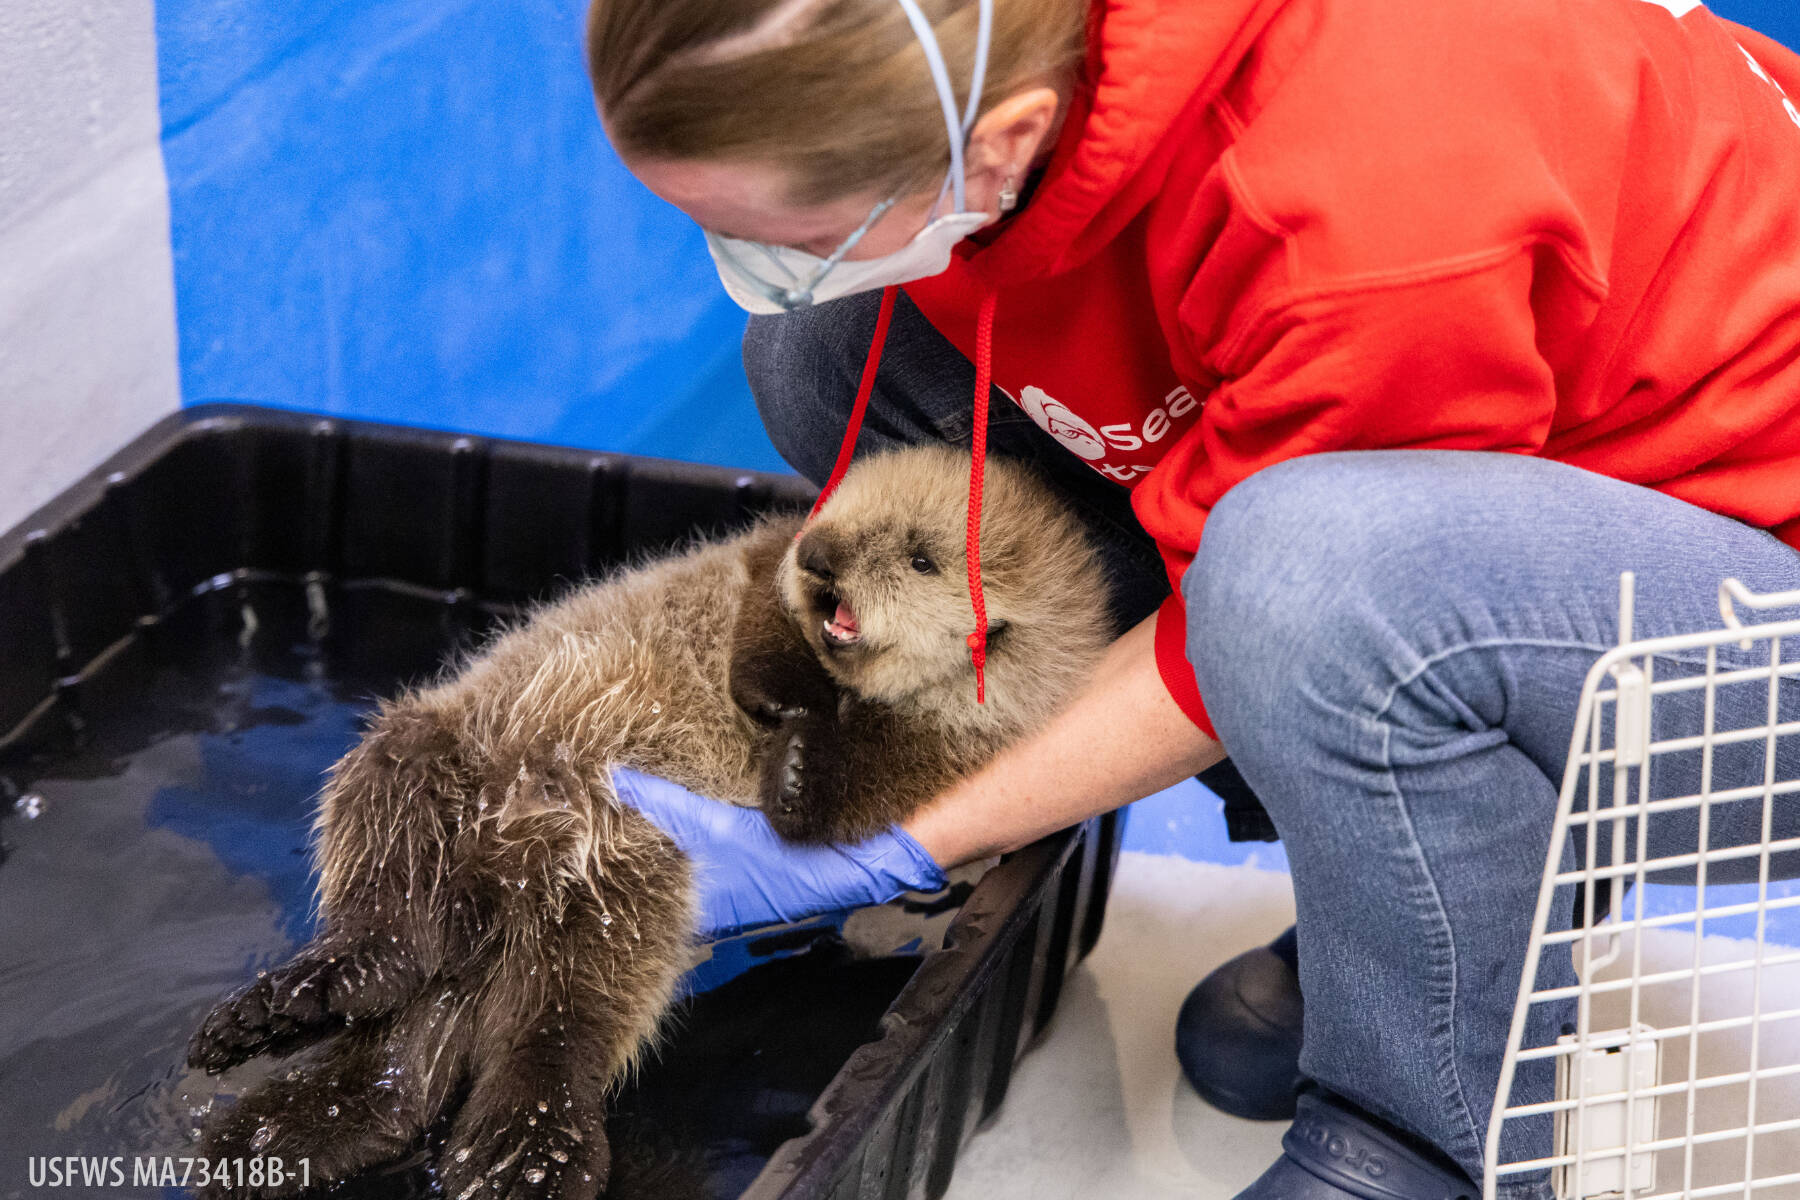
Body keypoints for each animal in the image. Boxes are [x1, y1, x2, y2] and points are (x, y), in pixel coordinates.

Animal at [185, 445, 1111, 1199]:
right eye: (840, 510)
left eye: (921, 558)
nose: (824, 556)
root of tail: (494, 910)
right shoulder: (763, 559)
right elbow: (762, 605)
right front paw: (785, 699)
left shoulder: (966, 749)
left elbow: (877, 778)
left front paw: (800, 771)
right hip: (422, 758)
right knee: (390, 929)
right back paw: (283, 1027)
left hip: (623, 884)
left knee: (559, 1027)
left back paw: (522, 1159)